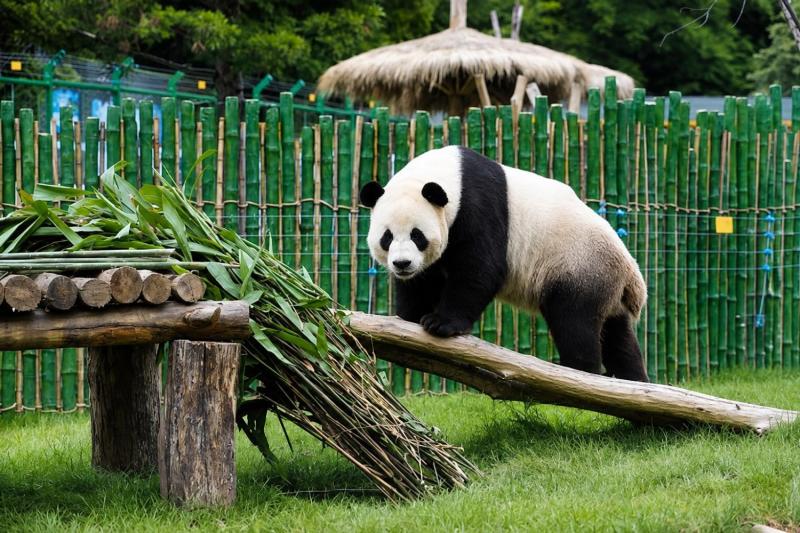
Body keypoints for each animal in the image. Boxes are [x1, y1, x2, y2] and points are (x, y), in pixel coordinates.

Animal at [359, 145, 649, 382]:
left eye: (417, 235)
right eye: (387, 237)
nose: (402, 263)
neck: (449, 173)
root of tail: (629, 270)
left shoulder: (478, 207)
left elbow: (480, 269)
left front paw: (441, 324)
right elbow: (424, 279)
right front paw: (406, 319)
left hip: (577, 265)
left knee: (574, 321)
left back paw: (578, 371)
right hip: (604, 283)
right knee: (618, 336)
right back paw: (634, 380)